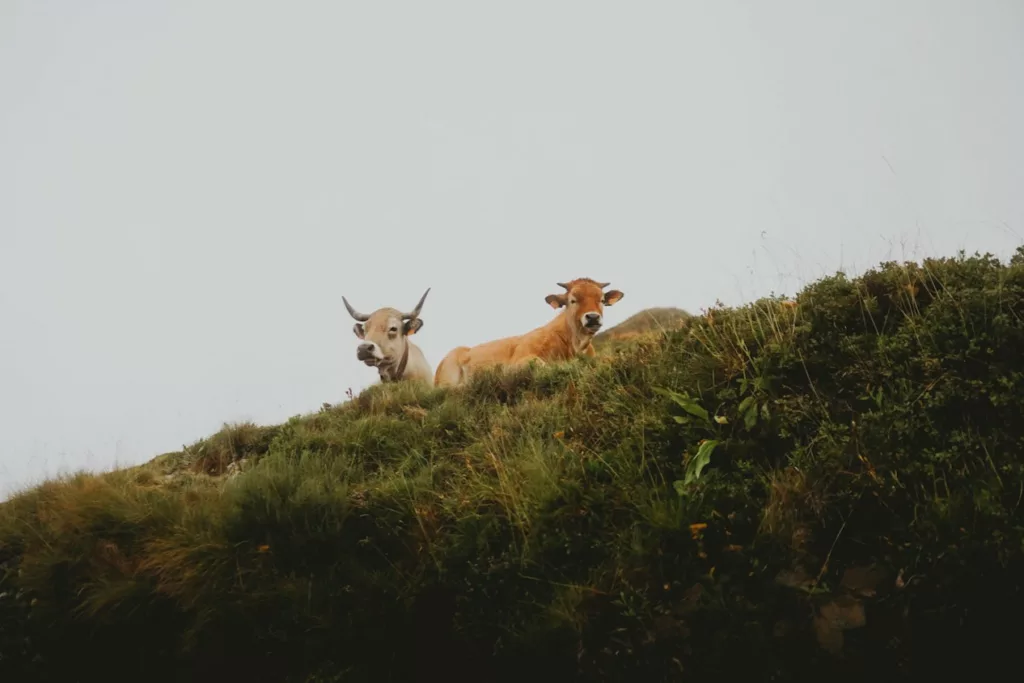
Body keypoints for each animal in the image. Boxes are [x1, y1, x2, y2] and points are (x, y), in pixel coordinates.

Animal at [433, 278, 624, 388]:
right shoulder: (516, 363)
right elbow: (541, 364)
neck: (574, 345)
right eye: (572, 300)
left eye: (602, 300)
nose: (592, 317)